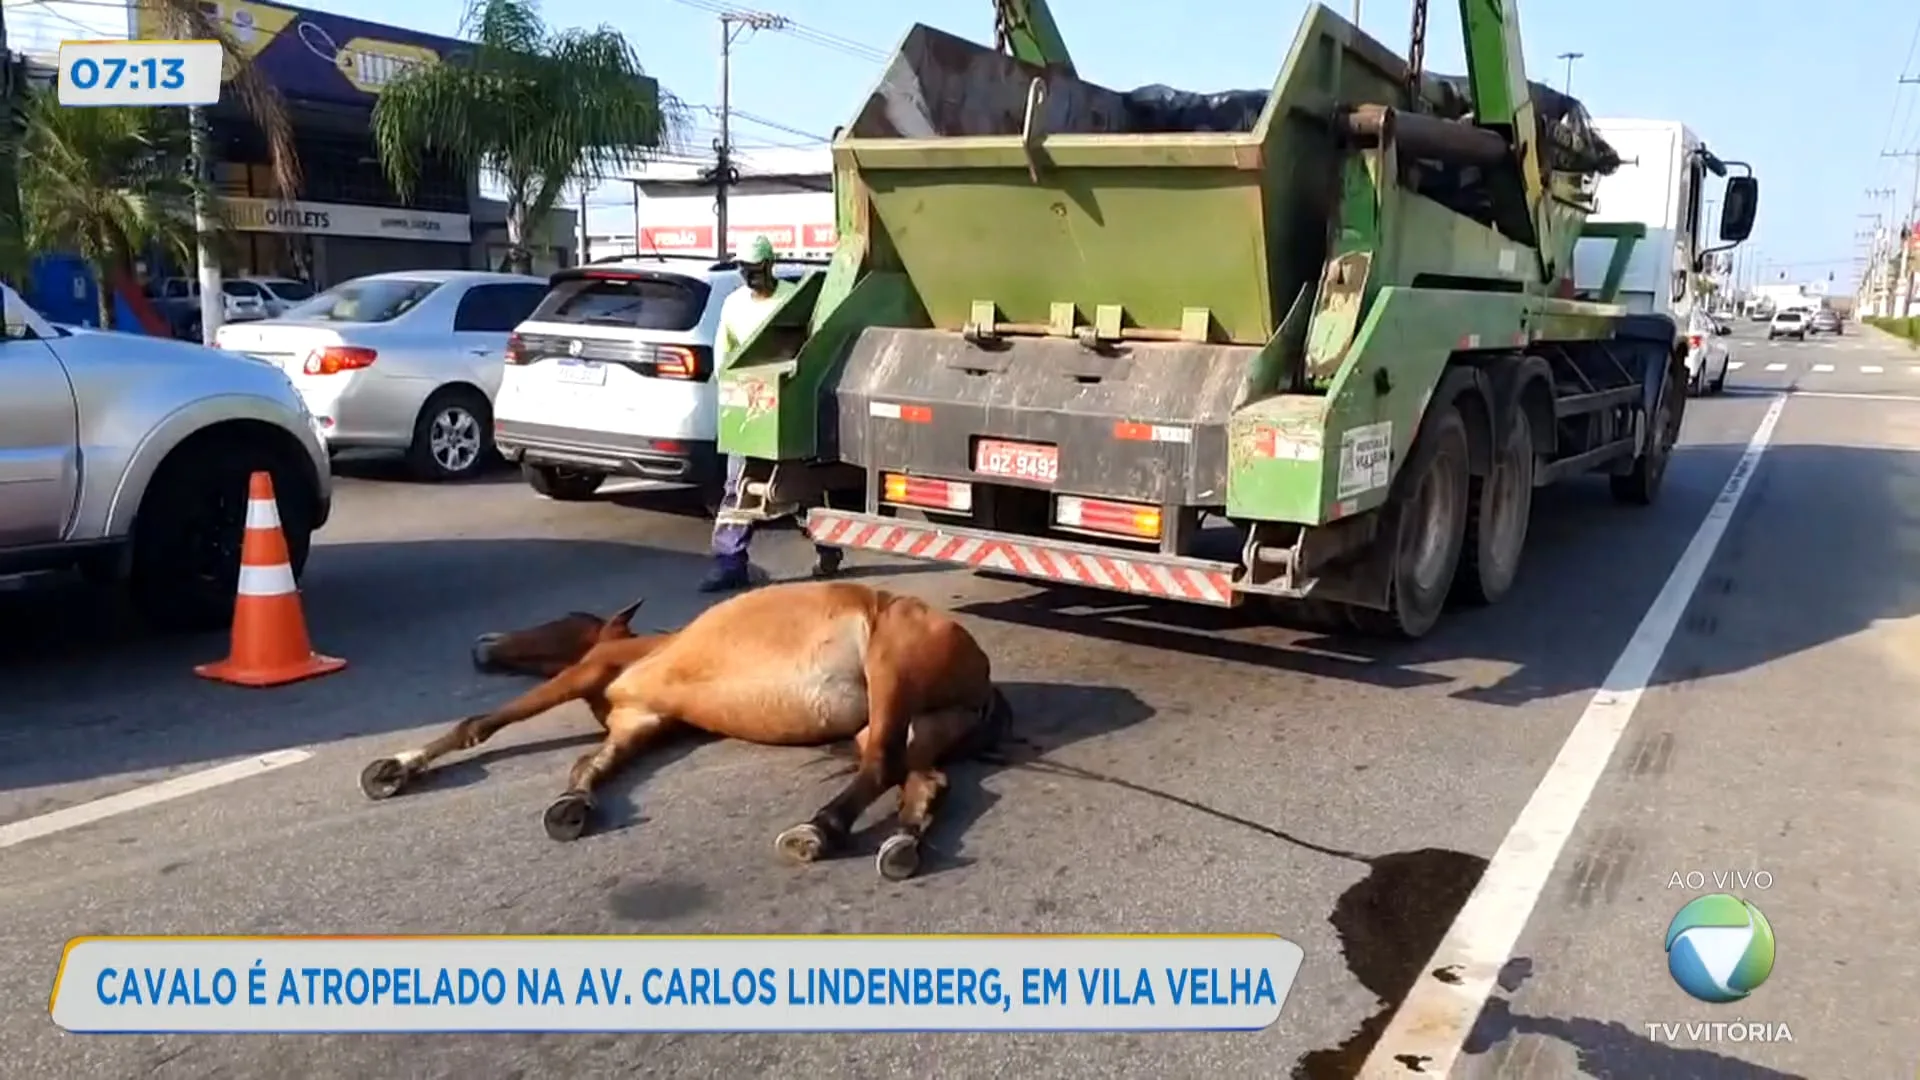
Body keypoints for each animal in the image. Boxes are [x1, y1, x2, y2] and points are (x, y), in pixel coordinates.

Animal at [360, 580, 1021, 876]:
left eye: (561, 620)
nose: (485, 645)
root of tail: (985, 678)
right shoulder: (641, 723)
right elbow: (590, 765)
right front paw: (574, 804)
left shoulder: (588, 672)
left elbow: (482, 723)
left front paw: (396, 768)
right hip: (914, 726)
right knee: (925, 781)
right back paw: (903, 843)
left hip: (890, 673)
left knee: (881, 763)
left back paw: (818, 829)